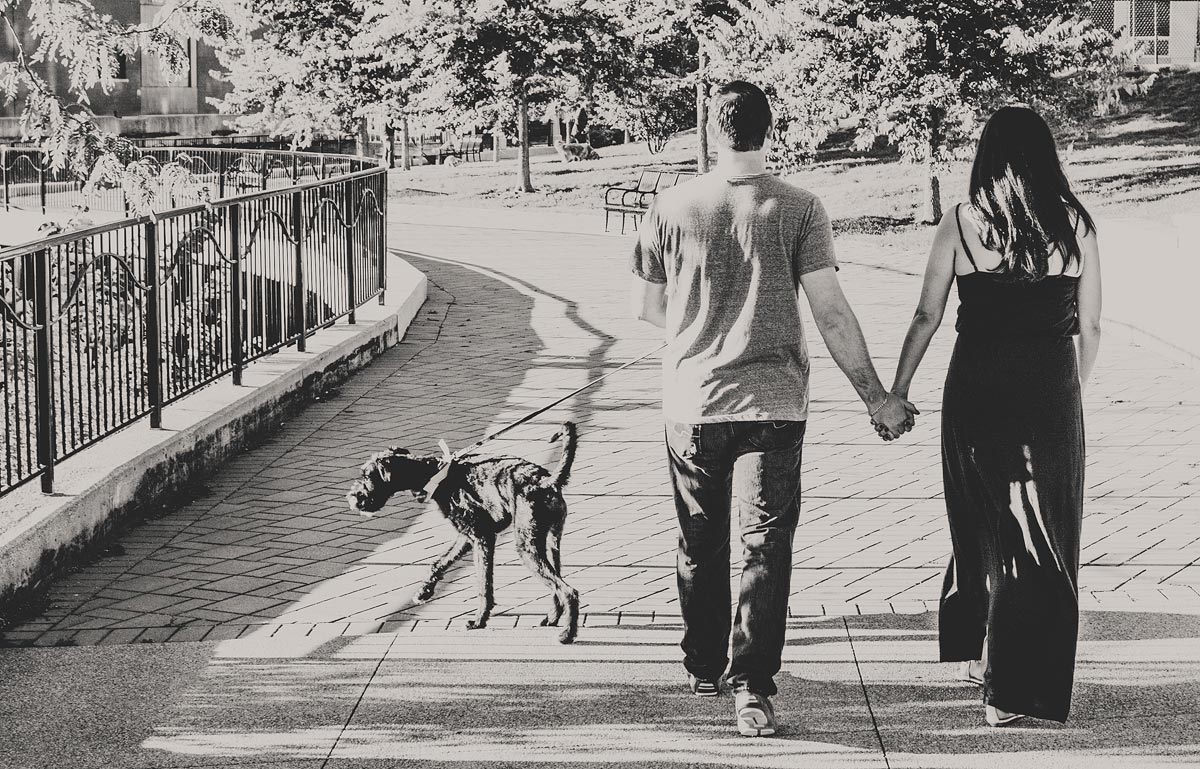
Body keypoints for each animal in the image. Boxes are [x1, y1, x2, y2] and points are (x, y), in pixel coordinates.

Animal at [348, 419, 580, 643]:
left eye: (368, 476)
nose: (353, 498)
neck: (435, 475)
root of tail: (546, 482)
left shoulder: (482, 537)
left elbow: (483, 584)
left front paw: (478, 621)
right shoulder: (466, 535)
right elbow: (440, 562)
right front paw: (424, 591)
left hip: (527, 547)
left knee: (569, 591)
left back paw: (567, 634)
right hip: (550, 542)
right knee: (556, 583)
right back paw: (553, 617)